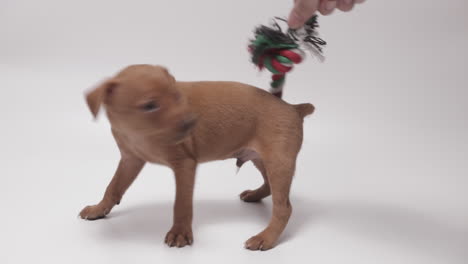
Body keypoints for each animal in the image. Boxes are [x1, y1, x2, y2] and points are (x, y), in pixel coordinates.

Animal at [80, 64, 314, 250]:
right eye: (150, 106)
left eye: (177, 96)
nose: (191, 122)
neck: (139, 134)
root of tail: (293, 108)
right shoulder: (131, 159)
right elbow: (113, 186)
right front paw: (99, 209)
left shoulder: (184, 165)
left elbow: (181, 203)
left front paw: (180, 233)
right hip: (262, 159)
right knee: (269, 187)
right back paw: (254, 196)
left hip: (279, 162)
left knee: (283, 207)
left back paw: (266, 237)